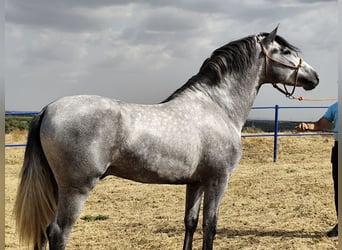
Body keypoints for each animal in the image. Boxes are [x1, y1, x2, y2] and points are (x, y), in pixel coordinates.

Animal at [13, 27, 318, 250]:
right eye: (286, 51)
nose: (314, 77)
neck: (217, 106)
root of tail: (48, 109)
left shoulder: (196, 182)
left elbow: (190, 223)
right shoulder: (218, 179)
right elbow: (210, 226)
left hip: (57, 187)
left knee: (43, 230)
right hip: (76, 189)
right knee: (57, 232)